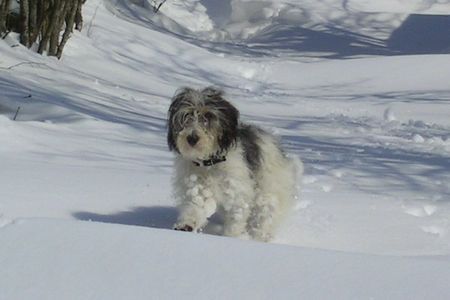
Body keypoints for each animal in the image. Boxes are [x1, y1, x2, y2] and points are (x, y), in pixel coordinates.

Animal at [167, 86, 300, 241]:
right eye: (186, 117)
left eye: (208, 116)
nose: (192, 138)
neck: (210, 163)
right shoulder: (196, 185)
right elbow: (196, 205)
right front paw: (186, 224)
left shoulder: (236, 189)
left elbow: (237, 215)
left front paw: (231, 237)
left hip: (270, 191)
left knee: (265, 215)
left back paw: (260, 237)